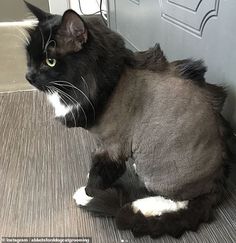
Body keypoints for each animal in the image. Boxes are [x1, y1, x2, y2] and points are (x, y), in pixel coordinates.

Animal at [24, 0, 234, 238]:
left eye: (49, 62)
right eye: (29, 58)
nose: (28, 76)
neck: (106, 82)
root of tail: (219, 181)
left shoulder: (112, 147)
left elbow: (95, 180)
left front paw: (86, 194)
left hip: (160, 172)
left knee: (179, 201)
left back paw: (138, 205)